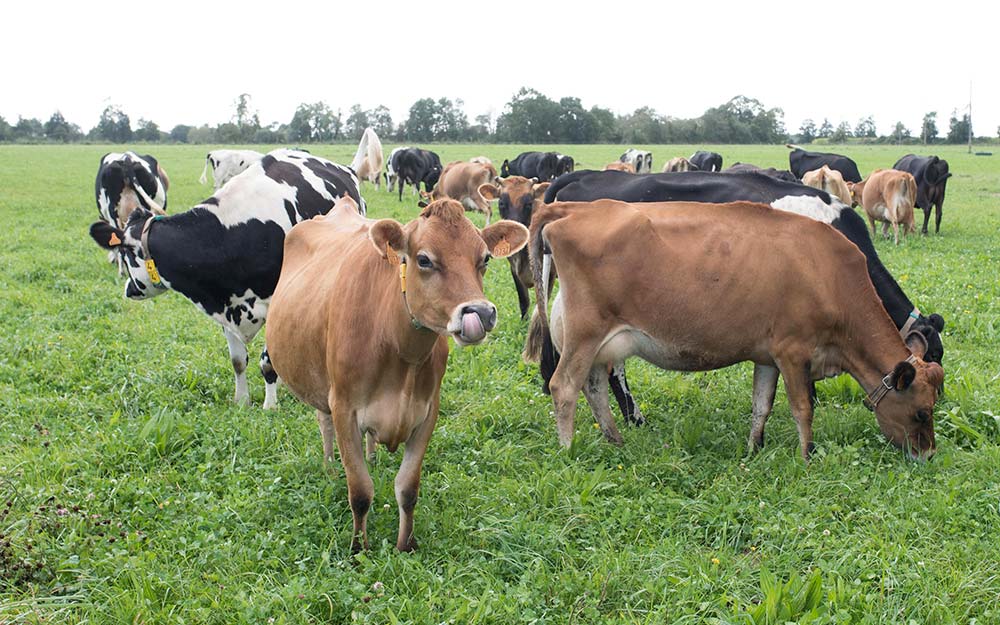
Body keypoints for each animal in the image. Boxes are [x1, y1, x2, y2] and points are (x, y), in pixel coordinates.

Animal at [88, 149, 365, 410]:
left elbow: (267, 362)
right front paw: (241, 401)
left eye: (125, 253)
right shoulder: (225, 302)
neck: (228, 234)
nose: (129, 290)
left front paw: (270, 405)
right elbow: (238, 361)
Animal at [265, 198, 528, 553]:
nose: (481, 313)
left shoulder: (427, 411)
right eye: (424, 259)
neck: (398, 348)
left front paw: (406, 544)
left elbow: (407, 488)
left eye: (484, 258)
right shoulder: (344, 406)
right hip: (321, 386)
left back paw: (372, 455)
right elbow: (360, 491)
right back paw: (330, 466)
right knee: (323, 422)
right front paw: (358, 547)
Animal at [528, 199, 944, 459]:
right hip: (585, 333)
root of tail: (575, 208)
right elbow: (802, 408)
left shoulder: (768, 355)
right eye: (922, 413)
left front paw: (753, 448)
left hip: (598, 343)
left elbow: (762, 405)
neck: (830, 274)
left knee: (595, 388)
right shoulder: (793, 351)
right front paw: (806, 455)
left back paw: (615, 440)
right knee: (564, 386)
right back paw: (568, 449)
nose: (928, 454)